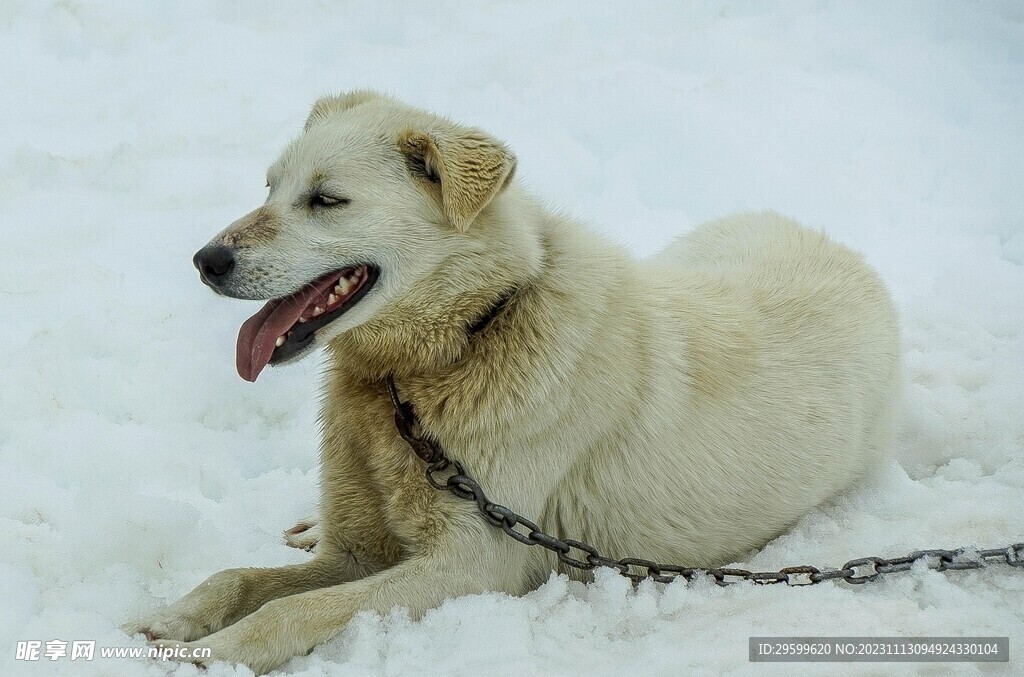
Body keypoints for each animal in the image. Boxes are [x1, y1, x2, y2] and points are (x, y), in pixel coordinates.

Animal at [123, 89, 901, 671]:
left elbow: (292, 607)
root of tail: (843, 252)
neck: (465, 340)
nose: (206, 259)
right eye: (270, 188)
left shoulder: (473, 565)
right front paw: (175, 619)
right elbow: (238, 576)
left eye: (326, 200)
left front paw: (211, 654)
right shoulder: (359, 549)